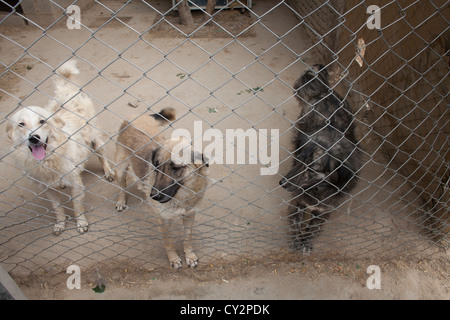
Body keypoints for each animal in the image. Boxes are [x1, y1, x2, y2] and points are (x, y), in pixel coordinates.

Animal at [6, 60, 115, 235]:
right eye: (21, 124)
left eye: (42, 121)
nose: (34, 138)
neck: (49, 160)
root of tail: (66, 89)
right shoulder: (48, 188)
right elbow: (57, 208)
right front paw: (60, 224)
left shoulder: (76, 185)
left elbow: (77, 206)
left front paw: (81, 223)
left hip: (96, 140)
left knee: (102, 156)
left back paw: (109, 171)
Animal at [114, 109, 209, 268]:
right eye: (156, 166)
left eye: (175, 168)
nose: (154, 196)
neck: (181, 196)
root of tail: (134, 115)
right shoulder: (163, 220)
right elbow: (168, 241)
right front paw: (174, 259)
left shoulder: (190, 214)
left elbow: (187, 237)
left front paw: (189, 255)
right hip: (120, 167)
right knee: (122, 184)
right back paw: (121, 201)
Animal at [280, 64, 360, 255]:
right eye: (299, 161)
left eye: (311, 169)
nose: (282, 183)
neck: (317, 188)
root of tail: (327, 91)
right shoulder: (297, 201)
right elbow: (297, 223)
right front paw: (296, 242)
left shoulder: (324, 210)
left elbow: (312, 228)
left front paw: (306, 242)